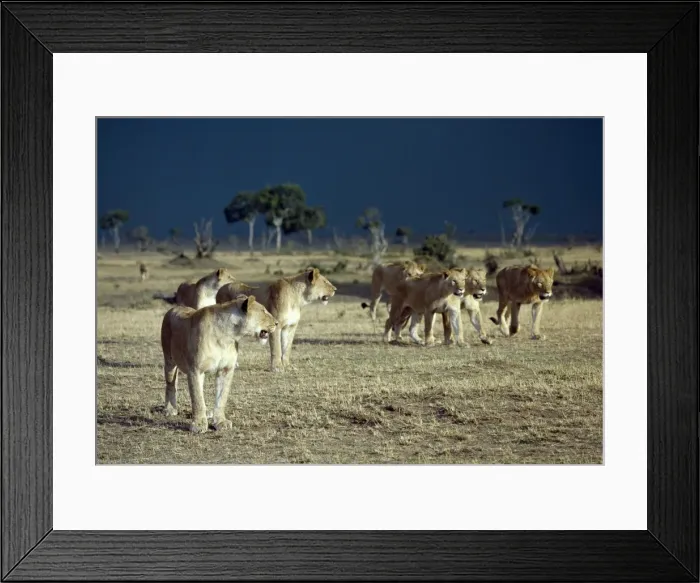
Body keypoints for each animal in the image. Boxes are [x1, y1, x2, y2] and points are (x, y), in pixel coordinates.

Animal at [160, 295, 277, 434]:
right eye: (263, 311)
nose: (277, 323)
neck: (228, 336)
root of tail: (174, 308)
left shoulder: (226, 370)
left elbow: (221, 398)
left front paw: (220, 421)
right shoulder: (195, 369)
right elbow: (197, 398)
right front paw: (198, 424)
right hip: (169, 360)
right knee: (170, 384)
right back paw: (170, 409)